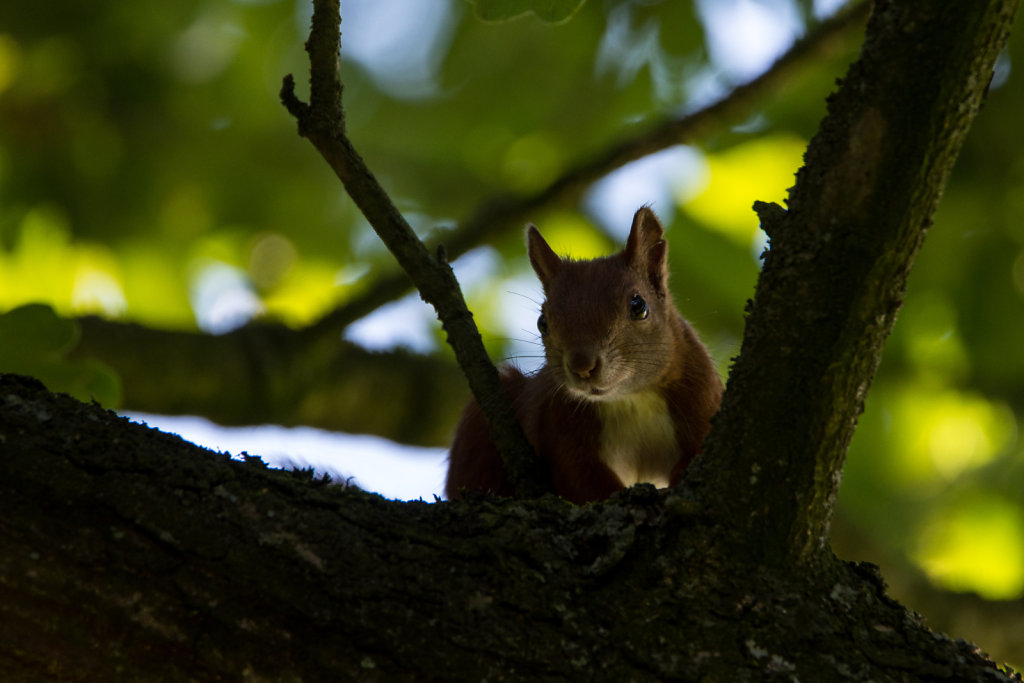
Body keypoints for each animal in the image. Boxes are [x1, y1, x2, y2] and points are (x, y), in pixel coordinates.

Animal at [446, 205, 720, 505]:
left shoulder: (701, 398)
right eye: (542, 322)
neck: (630, 398)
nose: (582, 366)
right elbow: (581, 479)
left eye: (639, 306)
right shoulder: (560, 424)